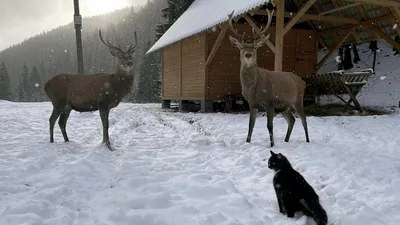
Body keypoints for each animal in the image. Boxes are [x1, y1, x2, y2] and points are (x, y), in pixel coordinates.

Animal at [228, 9, 310, 148]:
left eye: (255, 47)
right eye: (241, 47)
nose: (248, 55)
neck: (252, 88)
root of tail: (303, 81)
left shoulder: (270, 102)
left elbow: (269, 126)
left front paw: (272, 145)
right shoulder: (252, 103)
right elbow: (250, 125)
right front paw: (247, 142)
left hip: (298, 99)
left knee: (303, 119)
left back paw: (308, 141)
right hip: (285, 106)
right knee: (292, 120)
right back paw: (286, 140)